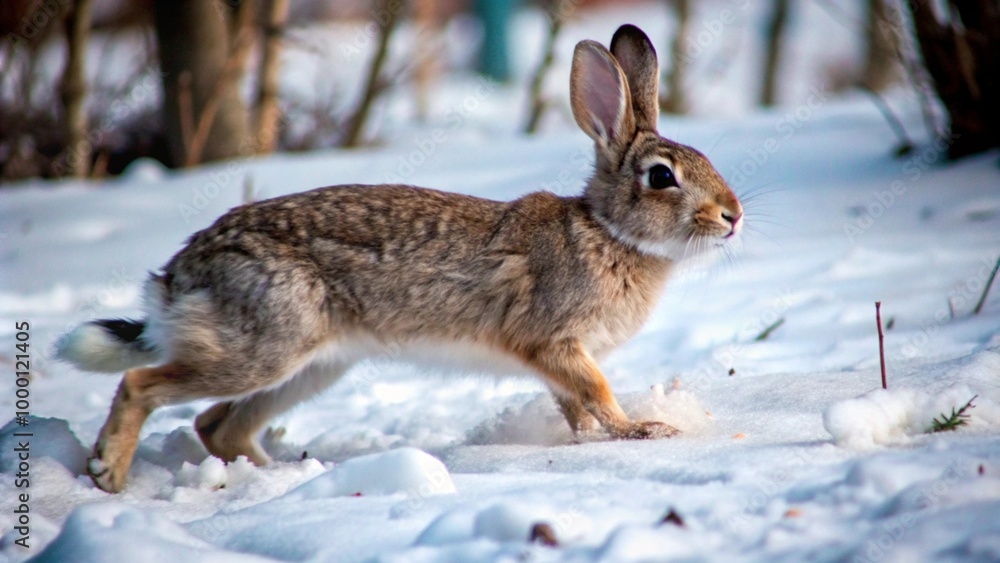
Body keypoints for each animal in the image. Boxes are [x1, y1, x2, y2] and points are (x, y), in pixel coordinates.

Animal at [55, 24, 743, 493]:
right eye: (661, 177)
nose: (733, 215)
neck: (609, 231)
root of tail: (182, 273)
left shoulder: (559, 362)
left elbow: (577, 408)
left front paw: (599, 439)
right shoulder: (553, 342)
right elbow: (596, 393)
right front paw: (642, 432)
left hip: (311, 365)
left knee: (218, 425)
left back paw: (285, 478)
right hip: (265, 346)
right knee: (142, 383)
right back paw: (109, 473)